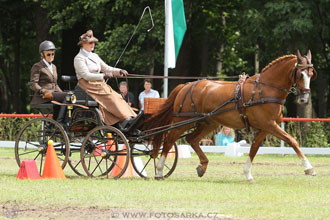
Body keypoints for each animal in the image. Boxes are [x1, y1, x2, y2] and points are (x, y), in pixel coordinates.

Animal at [146, 50, 318, 182]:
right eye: (300, 74)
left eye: (311, 74)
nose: (304, 99)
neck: (266, 89)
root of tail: (186, 85)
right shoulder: (269, 125)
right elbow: (292, 141)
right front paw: (309, 168)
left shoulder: (265, 127)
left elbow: (254, 148)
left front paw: (247, 174)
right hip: (183, 120)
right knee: (169, 140)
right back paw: (159, 170)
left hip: (209, 123)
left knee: (191, 139)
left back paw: (203, 166)